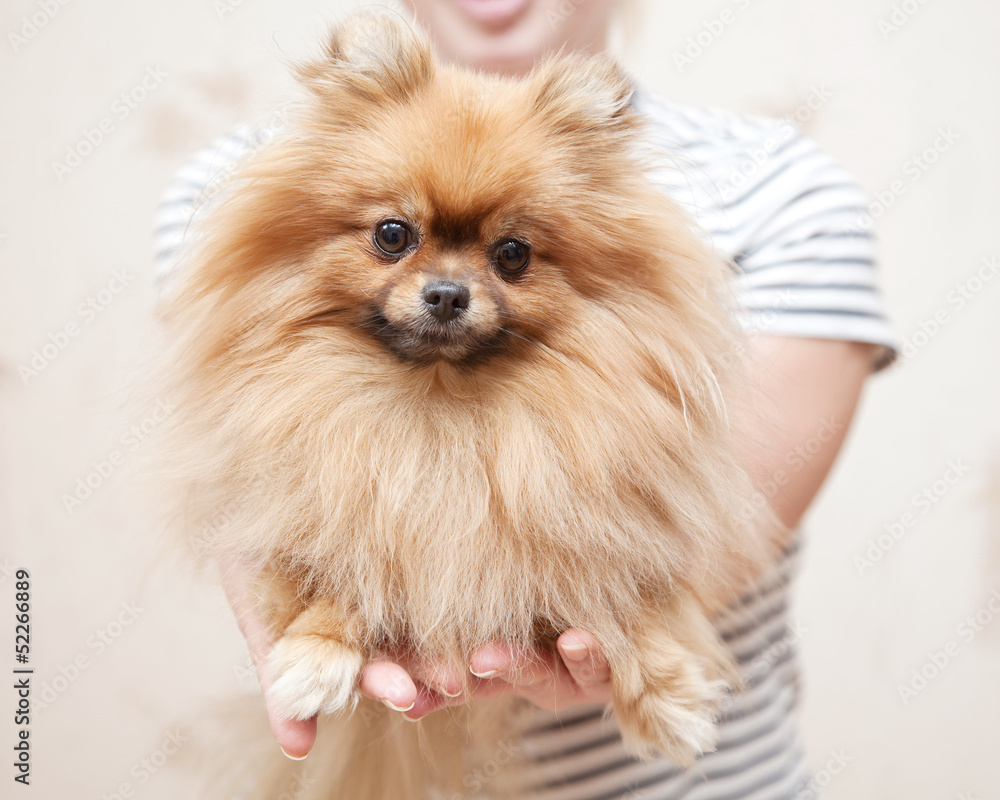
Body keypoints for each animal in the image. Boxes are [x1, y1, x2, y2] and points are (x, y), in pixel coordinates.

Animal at [158, 7, 780, 800]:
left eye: (512, 253)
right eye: (393, 235)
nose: (449, 293)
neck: (442, 406)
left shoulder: (608, 520)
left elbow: (636, 598)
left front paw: (669, 699)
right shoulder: (341, 503)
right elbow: (346, 570)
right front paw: (315, 656)